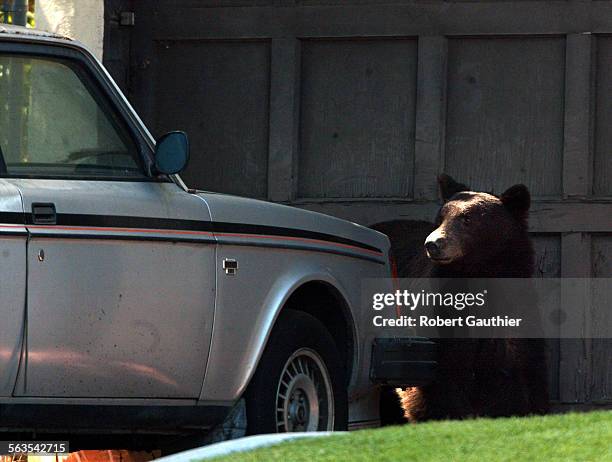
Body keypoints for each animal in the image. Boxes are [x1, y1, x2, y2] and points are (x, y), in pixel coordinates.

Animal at [372, 173, 548, 422]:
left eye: (467, 219)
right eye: (441, 218)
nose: (433, 244)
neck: (478, 274)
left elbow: (516, 373)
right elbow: (440, 380)